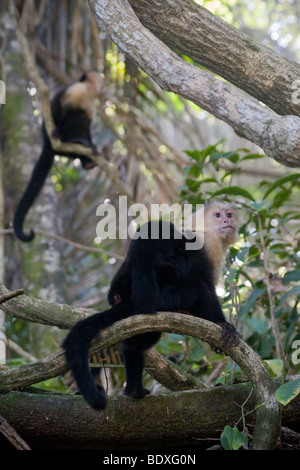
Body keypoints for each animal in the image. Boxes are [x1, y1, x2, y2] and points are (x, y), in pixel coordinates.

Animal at [13, 72, 104, 242]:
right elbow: (57, 103)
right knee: (77, 115)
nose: (103, 79)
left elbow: (87, 127)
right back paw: (64, 137)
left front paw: (92, 147)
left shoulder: (91, 105)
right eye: (99, 77)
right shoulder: (77, 89)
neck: (88, 93)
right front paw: (56, 129)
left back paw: (85, 156)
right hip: (52, 138)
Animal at [62, 200, 239, 410]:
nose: (227, 220)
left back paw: (133, 389)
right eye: (218, 215)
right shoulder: (206, 248)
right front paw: (222, 324)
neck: (209, 235)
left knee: (137, 342)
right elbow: (204, 286)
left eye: (229, 214)